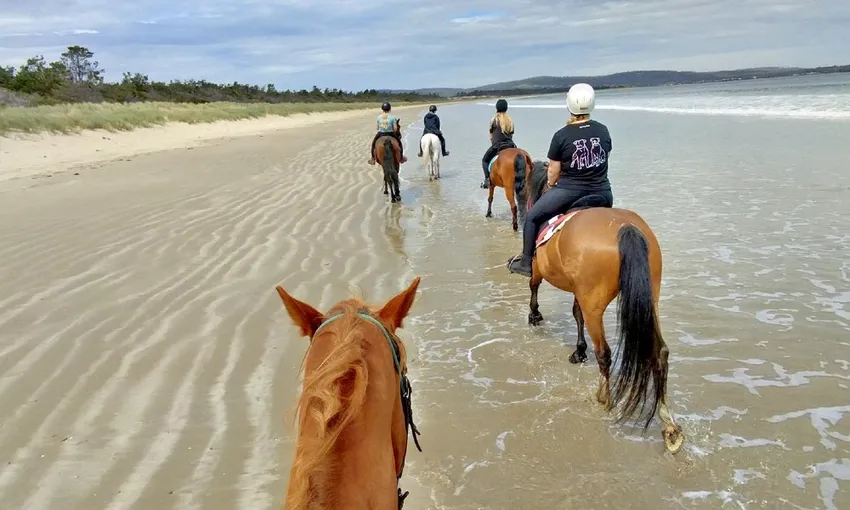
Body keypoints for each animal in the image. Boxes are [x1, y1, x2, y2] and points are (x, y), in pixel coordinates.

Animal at [516, 161, 685, 455]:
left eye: (524, 183)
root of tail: (625, 228)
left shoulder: (539, 269)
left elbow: (534, 286)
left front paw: (534, 315)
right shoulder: (579, 290)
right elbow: (576, 314)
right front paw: (578, 350)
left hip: (594, 302)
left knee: (604, 352)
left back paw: (603, 397)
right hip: (650, 297)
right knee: (660, 352)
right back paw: (669, 425)